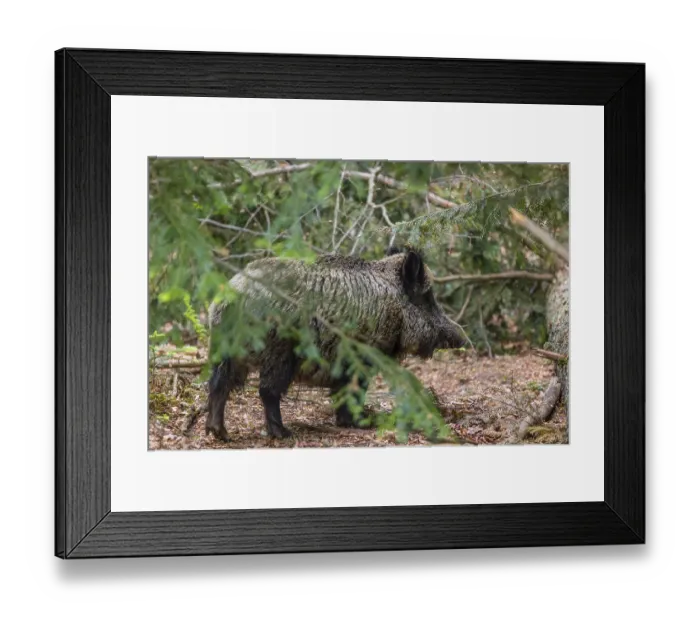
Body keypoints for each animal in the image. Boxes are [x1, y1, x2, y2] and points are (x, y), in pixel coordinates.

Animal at [205, 248, 467, 441]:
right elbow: (354, 390)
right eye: (427, 298)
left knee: (219, 384)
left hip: (226, 350)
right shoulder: (361, 356)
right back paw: (283, 434)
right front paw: (362, 423)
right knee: (267, 390)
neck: (394, 307)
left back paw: (220, 433)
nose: (463, 338)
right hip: (278, 350)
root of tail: (231, 296)